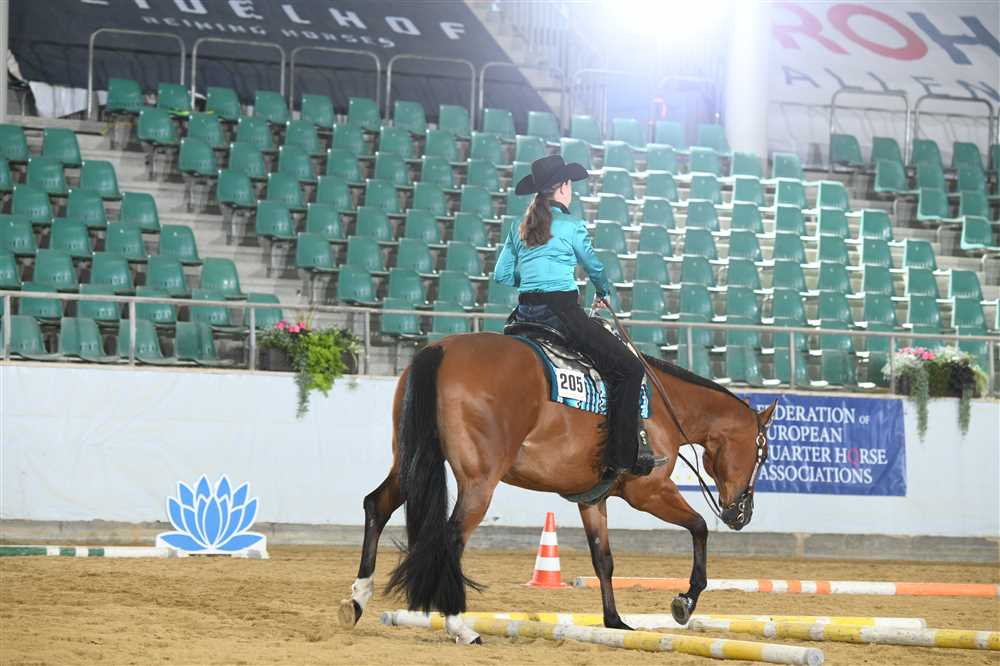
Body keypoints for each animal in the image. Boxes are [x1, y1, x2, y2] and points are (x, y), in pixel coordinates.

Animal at [338, 332, 777, 644]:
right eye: (763, 453)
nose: (742, 514)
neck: (663, 410)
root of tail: (441, 349)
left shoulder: (593, 498)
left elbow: (604, 560)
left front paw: (614, 622)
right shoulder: (649, 492)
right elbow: (699, 527)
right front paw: (684, 602)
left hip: (410, 461)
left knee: (377, 506)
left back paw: (357, 600)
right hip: (479, 483)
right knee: (450, 538)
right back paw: (459, 625)